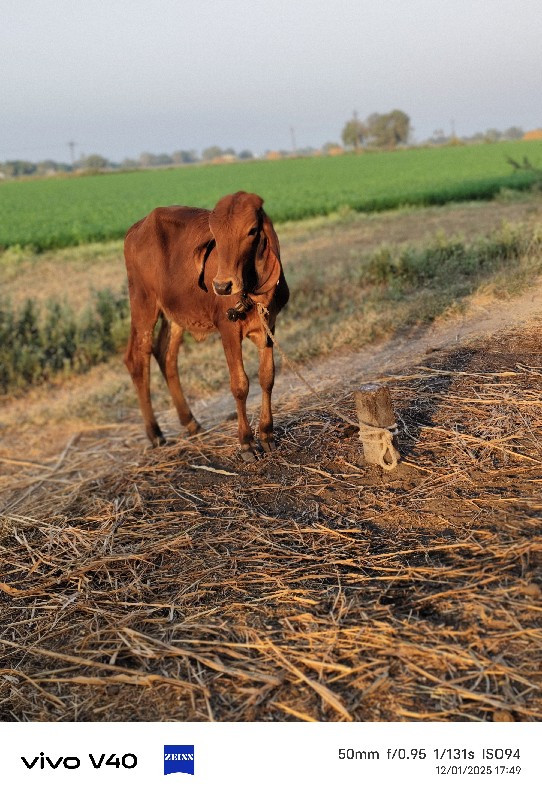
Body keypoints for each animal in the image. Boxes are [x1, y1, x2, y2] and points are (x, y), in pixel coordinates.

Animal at [126, 190, 292, 460]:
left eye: (252, 230)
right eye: (215, 233)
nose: (222, 286)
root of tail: (137, 227)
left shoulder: (269, 325)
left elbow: (267, 377)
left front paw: (267, 435)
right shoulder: (228, 330)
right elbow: (240, 384)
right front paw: (246, 442)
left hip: (175, 316)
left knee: (166, 356)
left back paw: (190, 422)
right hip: (143, 304)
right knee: (137, 358)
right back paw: (155, 433)